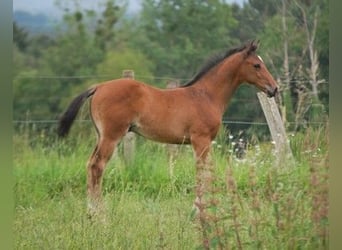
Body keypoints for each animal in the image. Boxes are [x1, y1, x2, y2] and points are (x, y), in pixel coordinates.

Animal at [57, 40, 280, 214]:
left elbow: (206, 172)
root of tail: (98, 87)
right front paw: (198, 210)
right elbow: (203, 172)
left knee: (90, 165)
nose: (274, 88)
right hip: (111, 136)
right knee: (97, 166)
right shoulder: (201, 140)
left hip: (101, 136)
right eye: (256, 65)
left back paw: (90, 211)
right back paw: (99, 214)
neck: (206, 96)